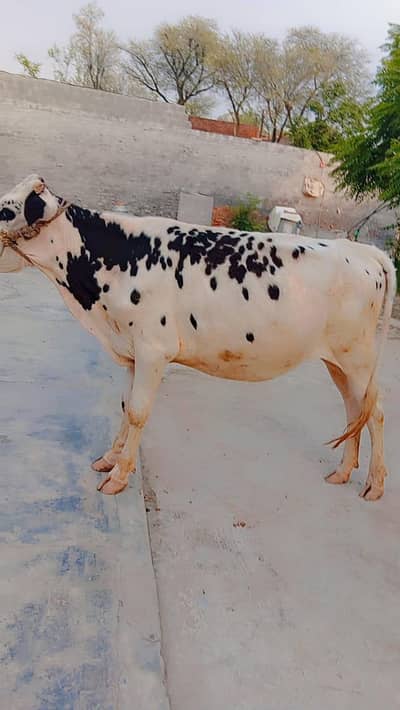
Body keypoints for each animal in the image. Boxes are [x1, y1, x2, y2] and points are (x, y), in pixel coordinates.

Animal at [0, 174, 396, 500]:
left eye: (5, 210)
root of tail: (360, 249)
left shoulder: (153, 350)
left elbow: (139, 412)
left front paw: (119, 476)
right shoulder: (132, 351)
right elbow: (126, 406)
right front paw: (109, 458)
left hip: (358, 358)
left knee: (375, 412)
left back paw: (375, 484)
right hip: (338, 361)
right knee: (354, 410)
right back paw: (342, 472)